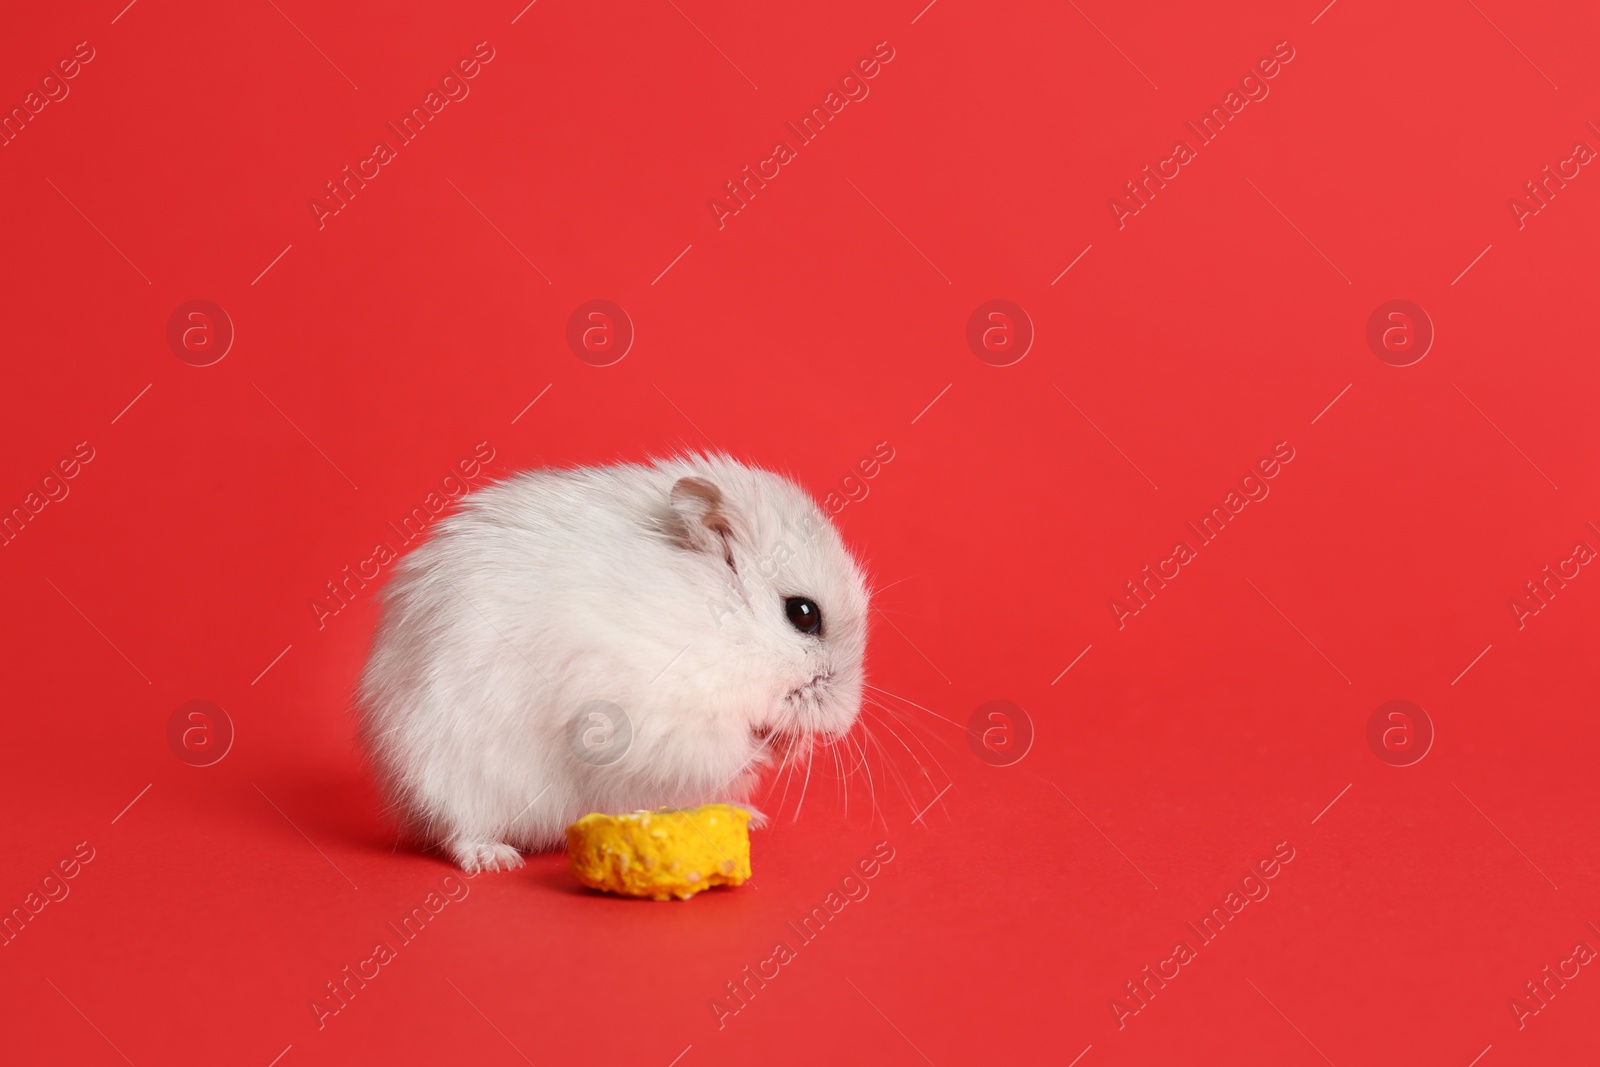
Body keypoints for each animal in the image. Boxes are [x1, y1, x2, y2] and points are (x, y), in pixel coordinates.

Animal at [356, 454, 876, 870]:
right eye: (803, 614)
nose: (843, 725)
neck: (719, 631)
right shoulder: (649, 715)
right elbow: (723, 744)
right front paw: (769, 747)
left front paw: (791, 746)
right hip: (453, 779)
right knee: (455, 831)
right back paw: (495, 860)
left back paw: (748, 817)